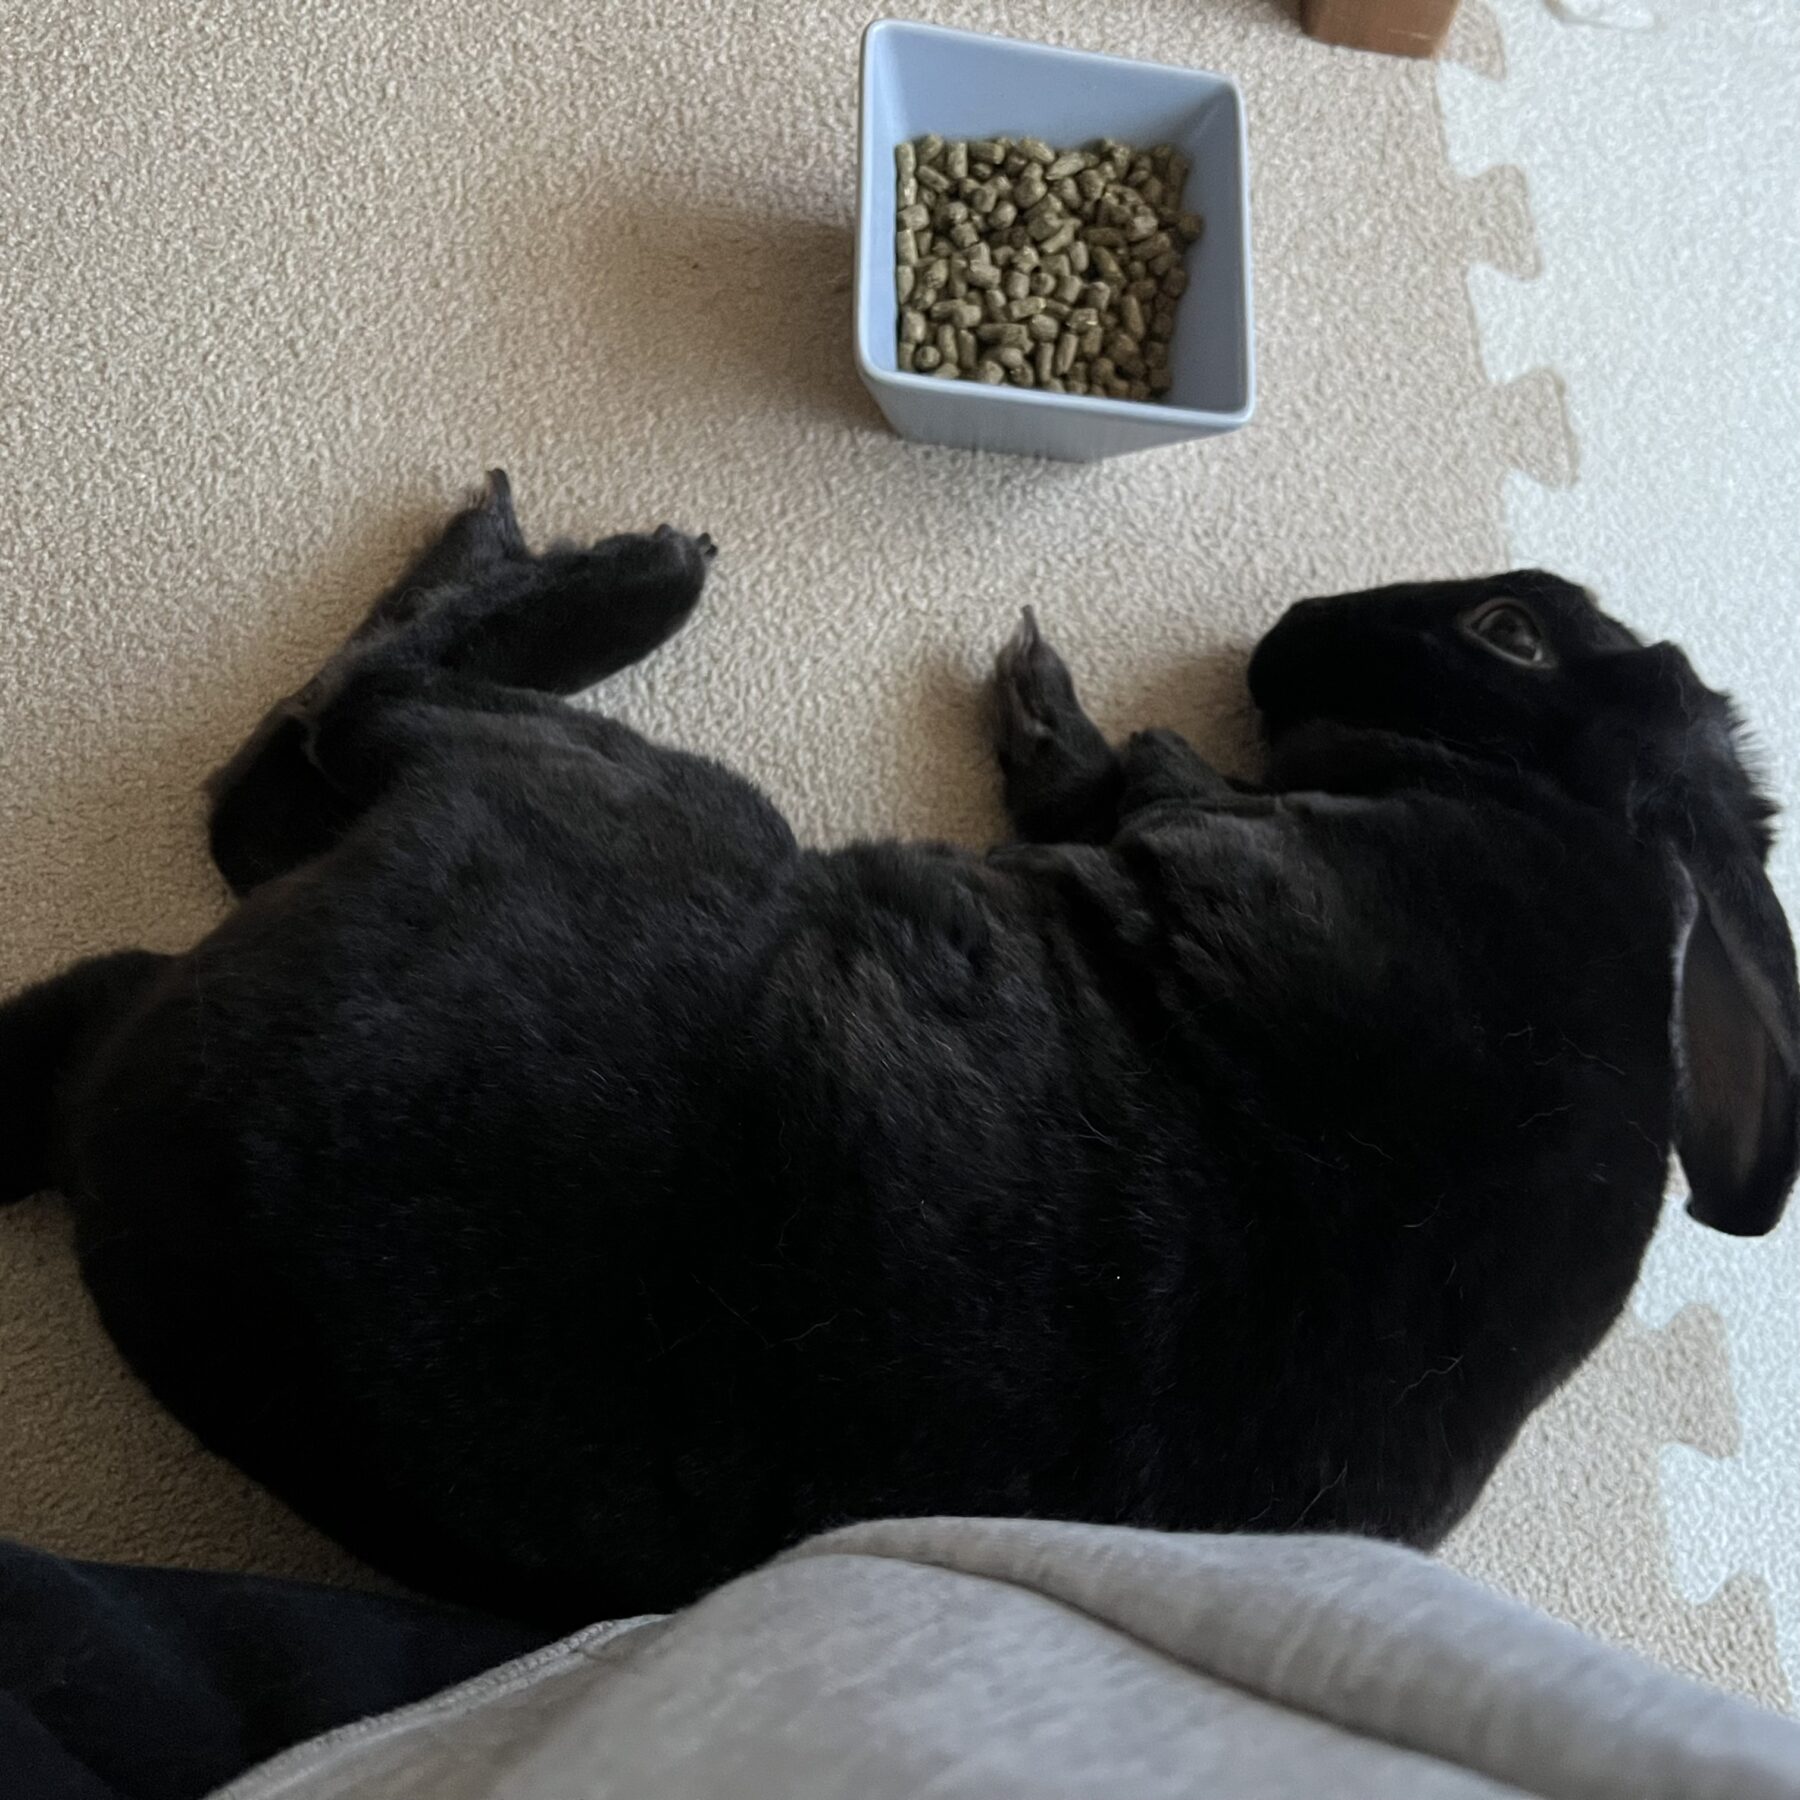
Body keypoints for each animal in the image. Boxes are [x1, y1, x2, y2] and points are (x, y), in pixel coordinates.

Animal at [2, 471, 1794, 1627]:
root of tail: (109, 1119)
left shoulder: (1203, 823)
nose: (1285, 628)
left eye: (1509, 634)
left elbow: (1118, 776)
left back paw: (609, 568)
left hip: (595, 792)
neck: (1574, 826)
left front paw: (1044, 697)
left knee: (322, 738)